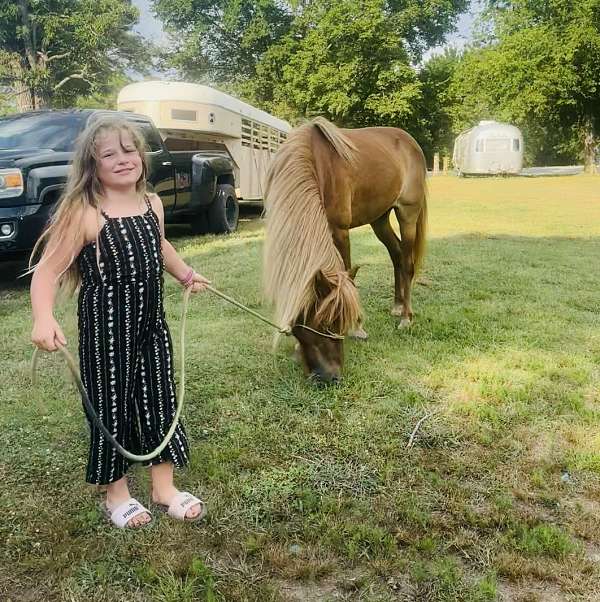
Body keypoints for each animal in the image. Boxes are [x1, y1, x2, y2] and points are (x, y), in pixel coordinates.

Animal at [262, 117, 426, 382]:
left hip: (408, 214)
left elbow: (347, 277)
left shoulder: (339, 231)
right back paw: (397, 305)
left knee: (408, 264)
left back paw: (405, 317)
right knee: (396, 255)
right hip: (379, 218)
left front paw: (357, 327)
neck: (315, 162)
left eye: (335, 322)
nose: (330, 377)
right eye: (322, 323)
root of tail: (410, 141)